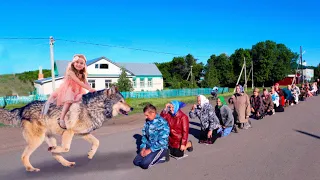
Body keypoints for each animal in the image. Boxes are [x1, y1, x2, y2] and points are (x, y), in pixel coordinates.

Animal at [0, 86, 132, 172]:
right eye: (121, 101)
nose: (131, 108)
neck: (95, 107)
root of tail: (22, 108)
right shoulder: (69, 131)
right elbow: (66, 148)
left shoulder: (83, 133)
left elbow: (97, 142)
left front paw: (90, 154)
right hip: (37, 140)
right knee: (24, 156)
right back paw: (31, 169)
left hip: (49, 138)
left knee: (54, 154)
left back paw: (67, 163)